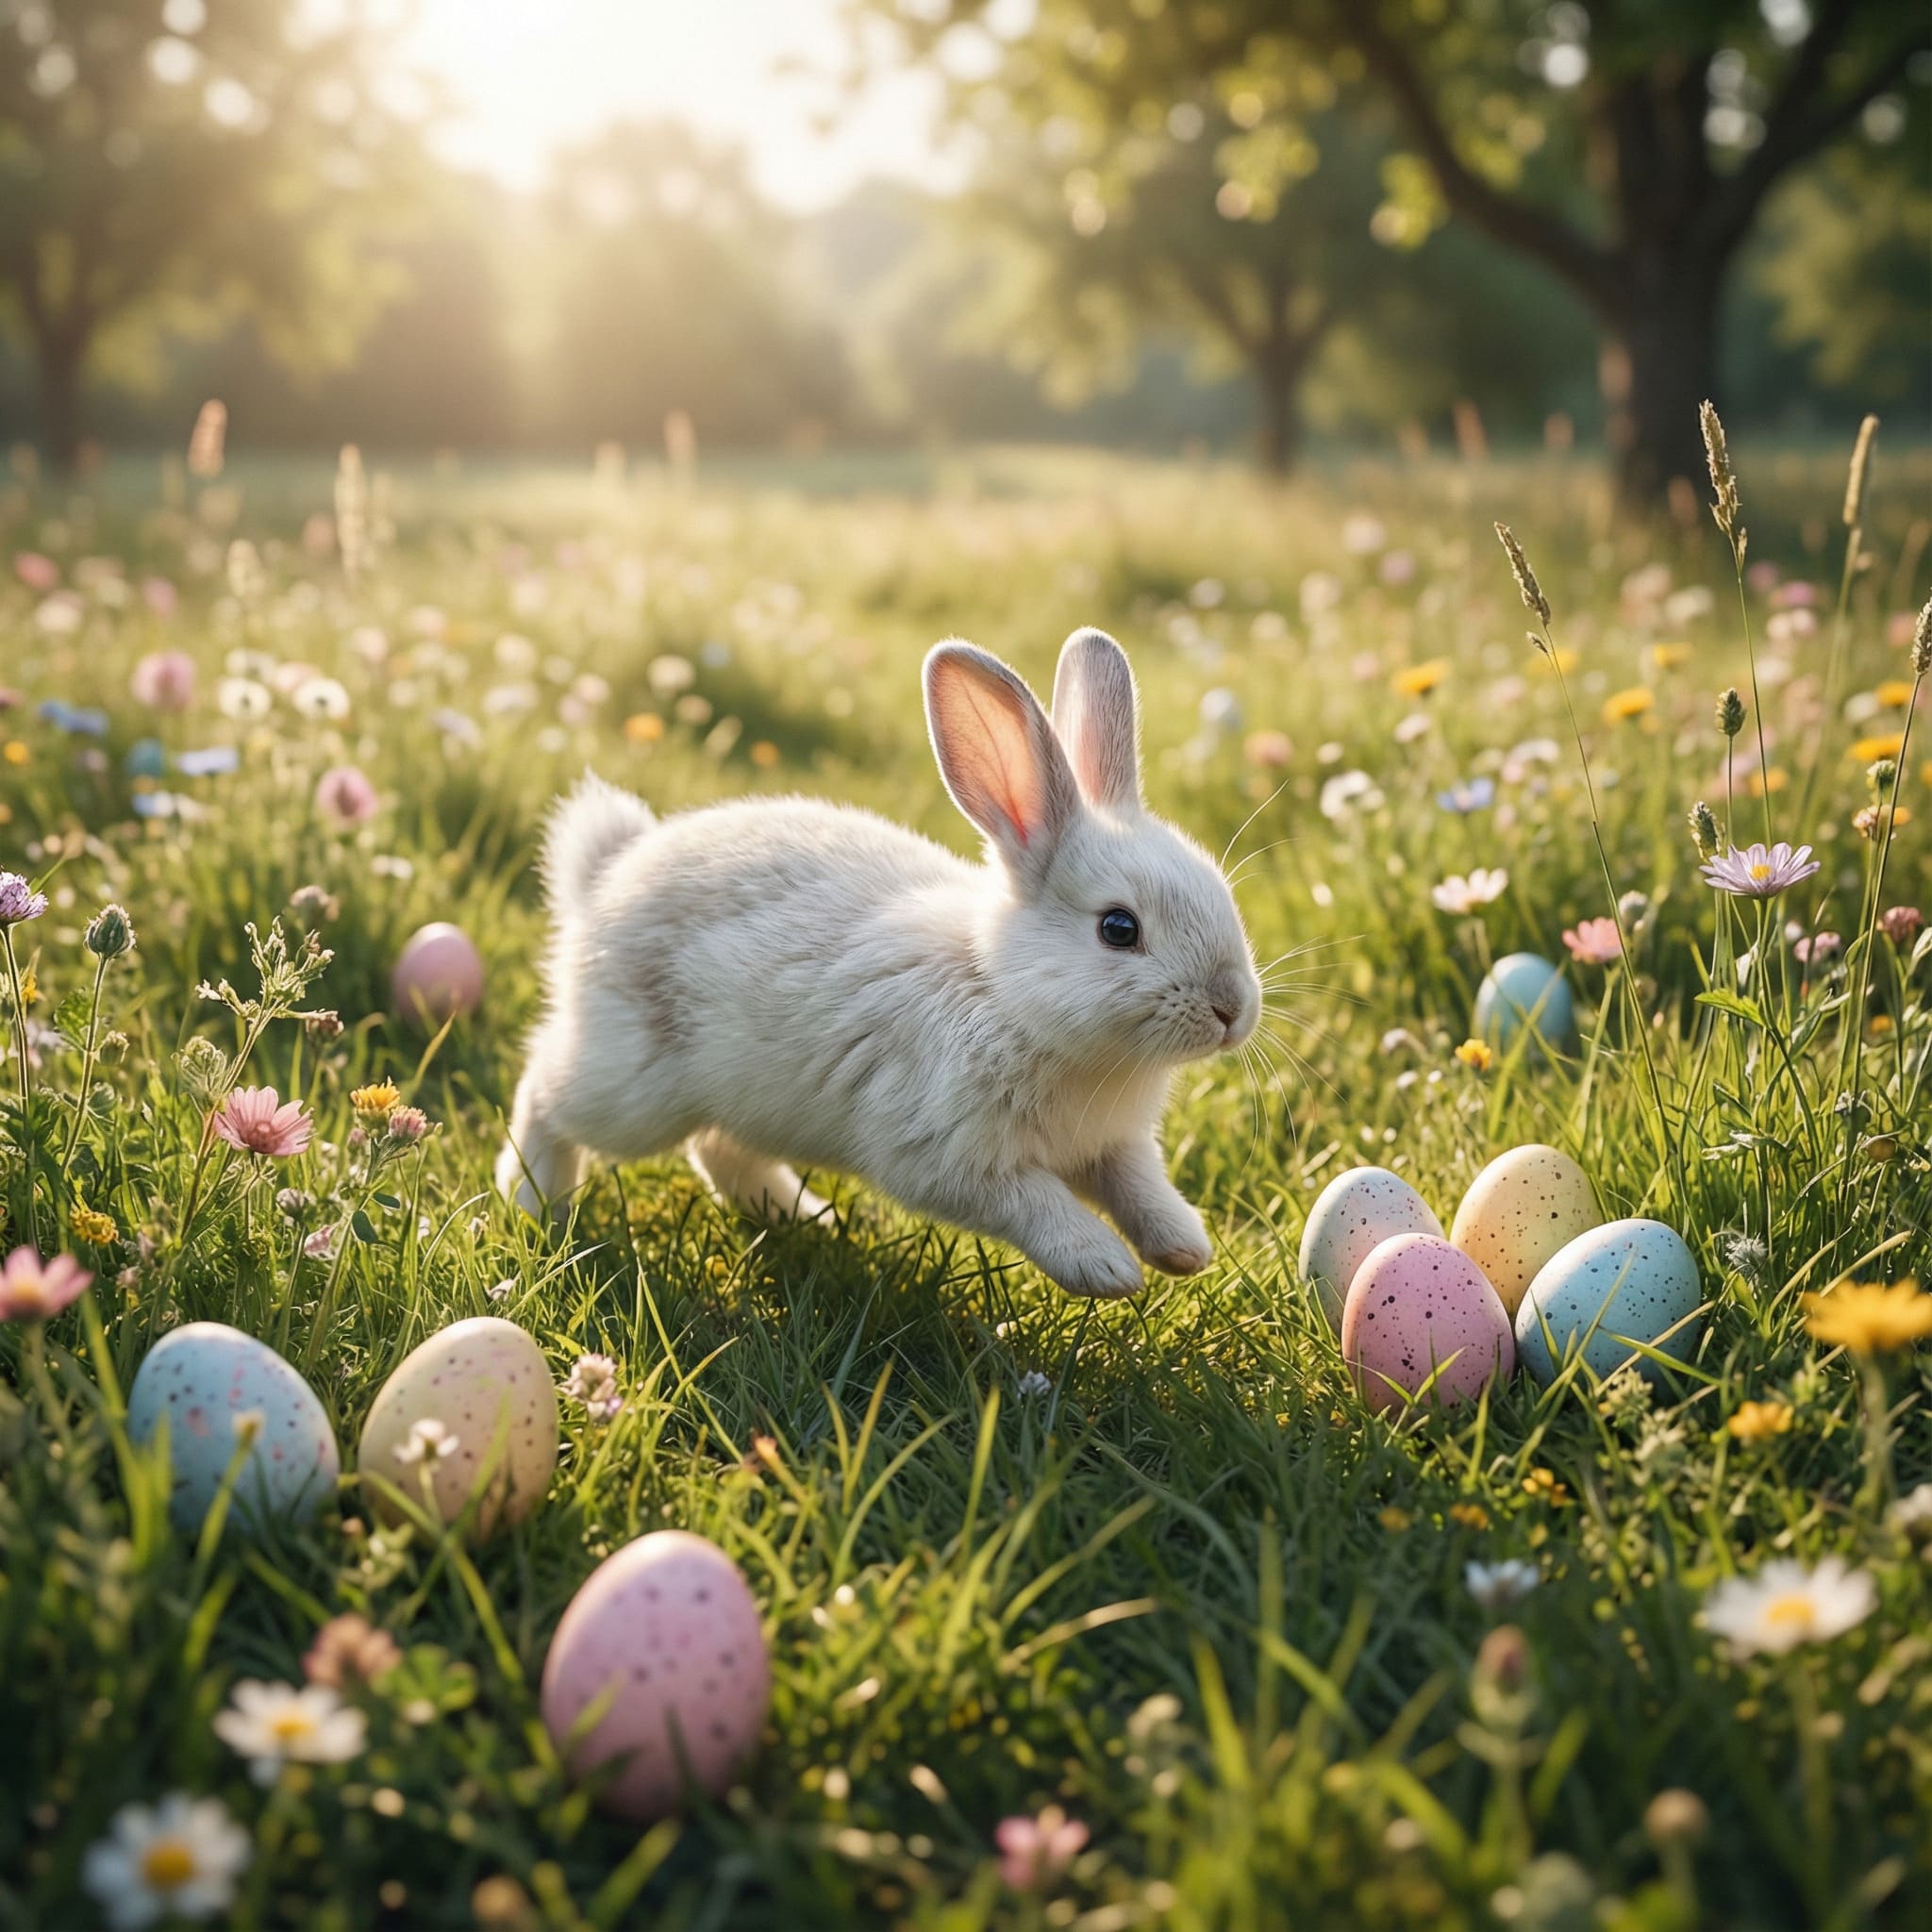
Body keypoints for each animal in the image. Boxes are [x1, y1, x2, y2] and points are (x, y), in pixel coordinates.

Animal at [495, 627, 1262, 1299]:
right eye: (1118, 928)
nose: (1232, 1011)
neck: (1003, 994)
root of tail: (601, 879)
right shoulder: (952, 1159)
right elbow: (1038, 1204)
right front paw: (1105, 1270)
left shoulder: (1116, 1147)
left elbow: (1141, 1189)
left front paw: (1184, 1250)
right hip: (629, 1088)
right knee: (545, 1091)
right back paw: (532, 1200)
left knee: (720, 1149)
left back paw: (804, 1217)